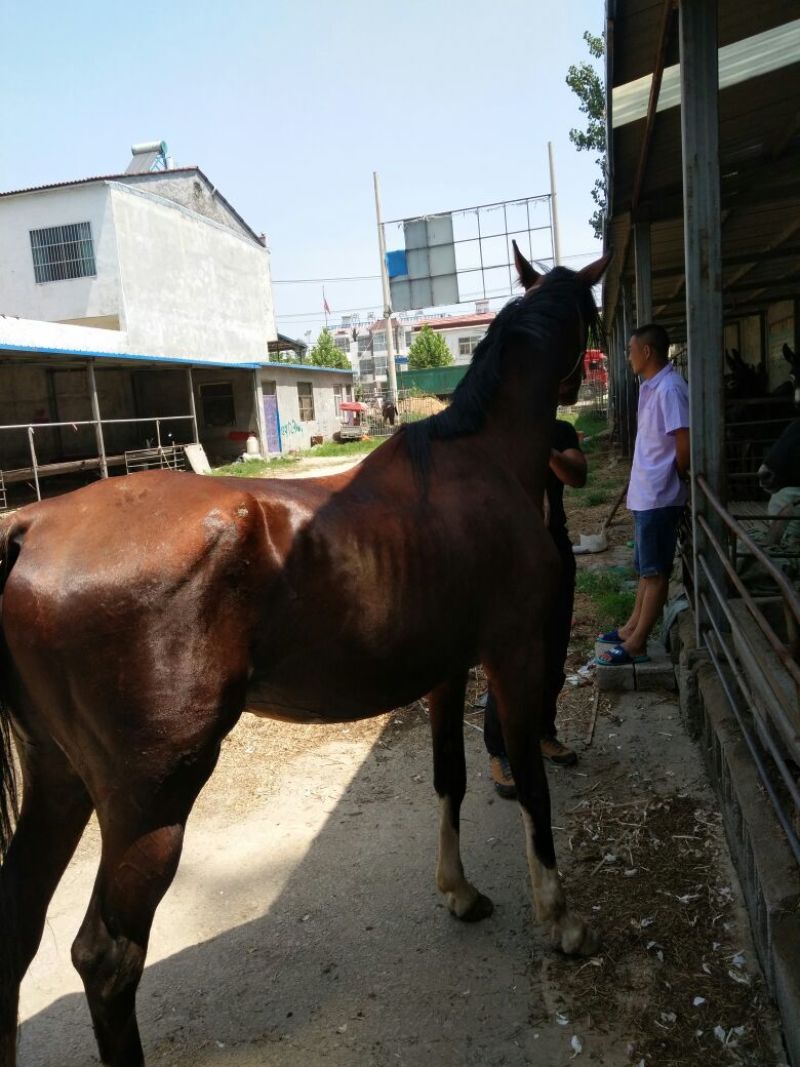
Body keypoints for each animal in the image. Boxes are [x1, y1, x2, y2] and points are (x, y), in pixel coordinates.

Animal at [0, 243, 610, 1067]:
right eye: (593, 318)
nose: (585, 390)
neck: (476, 461)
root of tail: (30, 524)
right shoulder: (512, 657)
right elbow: (534, 788)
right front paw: (562, 918)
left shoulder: (447, 671)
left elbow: (448, 778)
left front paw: (459, 890)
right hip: (148, 803)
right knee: (107, 957)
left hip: (59, 781)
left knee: (15, 929)